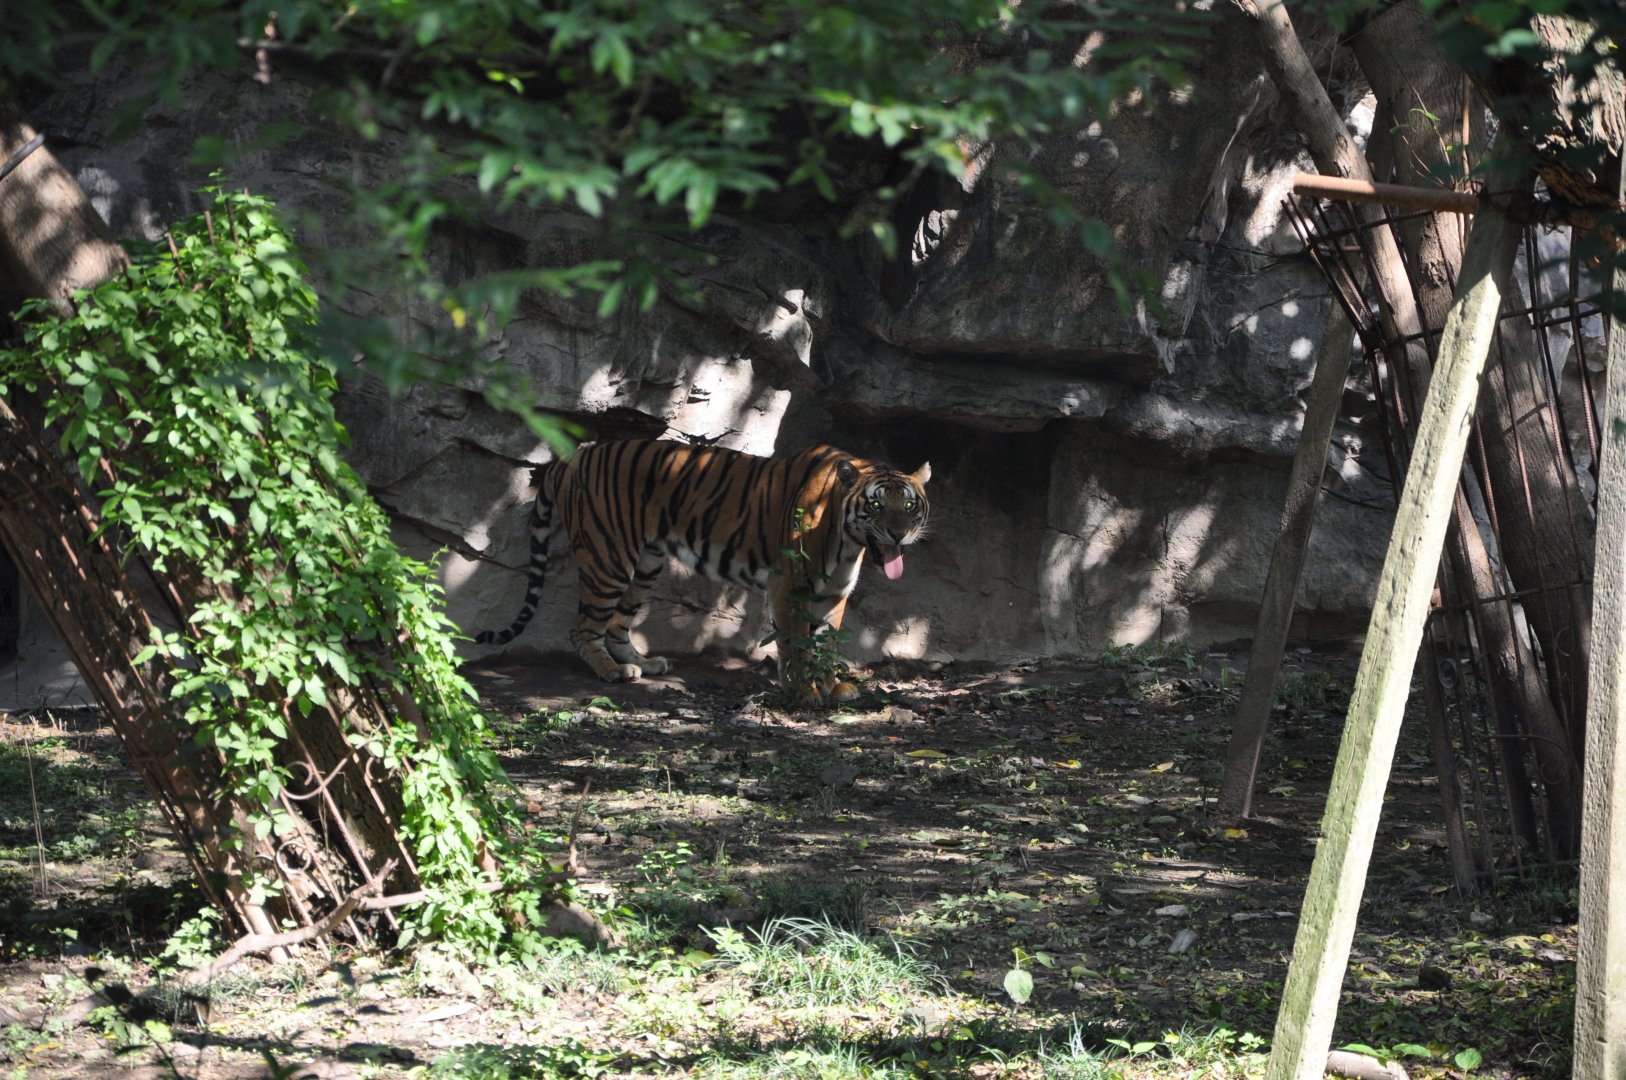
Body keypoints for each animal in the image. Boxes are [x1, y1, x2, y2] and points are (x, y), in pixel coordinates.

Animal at [474, 438, 931, 703]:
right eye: (876, 504)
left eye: (909, 505)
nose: (899, 533)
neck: (848, 538)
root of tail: (569, 458)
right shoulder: (791, 584)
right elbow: (795, 644)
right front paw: (802, 692)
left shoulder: (834, 591)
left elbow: (826, 644)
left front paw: (834, 688)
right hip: (609, 558)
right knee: (583, 626)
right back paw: (611, 671)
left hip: (646, 562)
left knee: (618, 624)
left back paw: (644, 663)